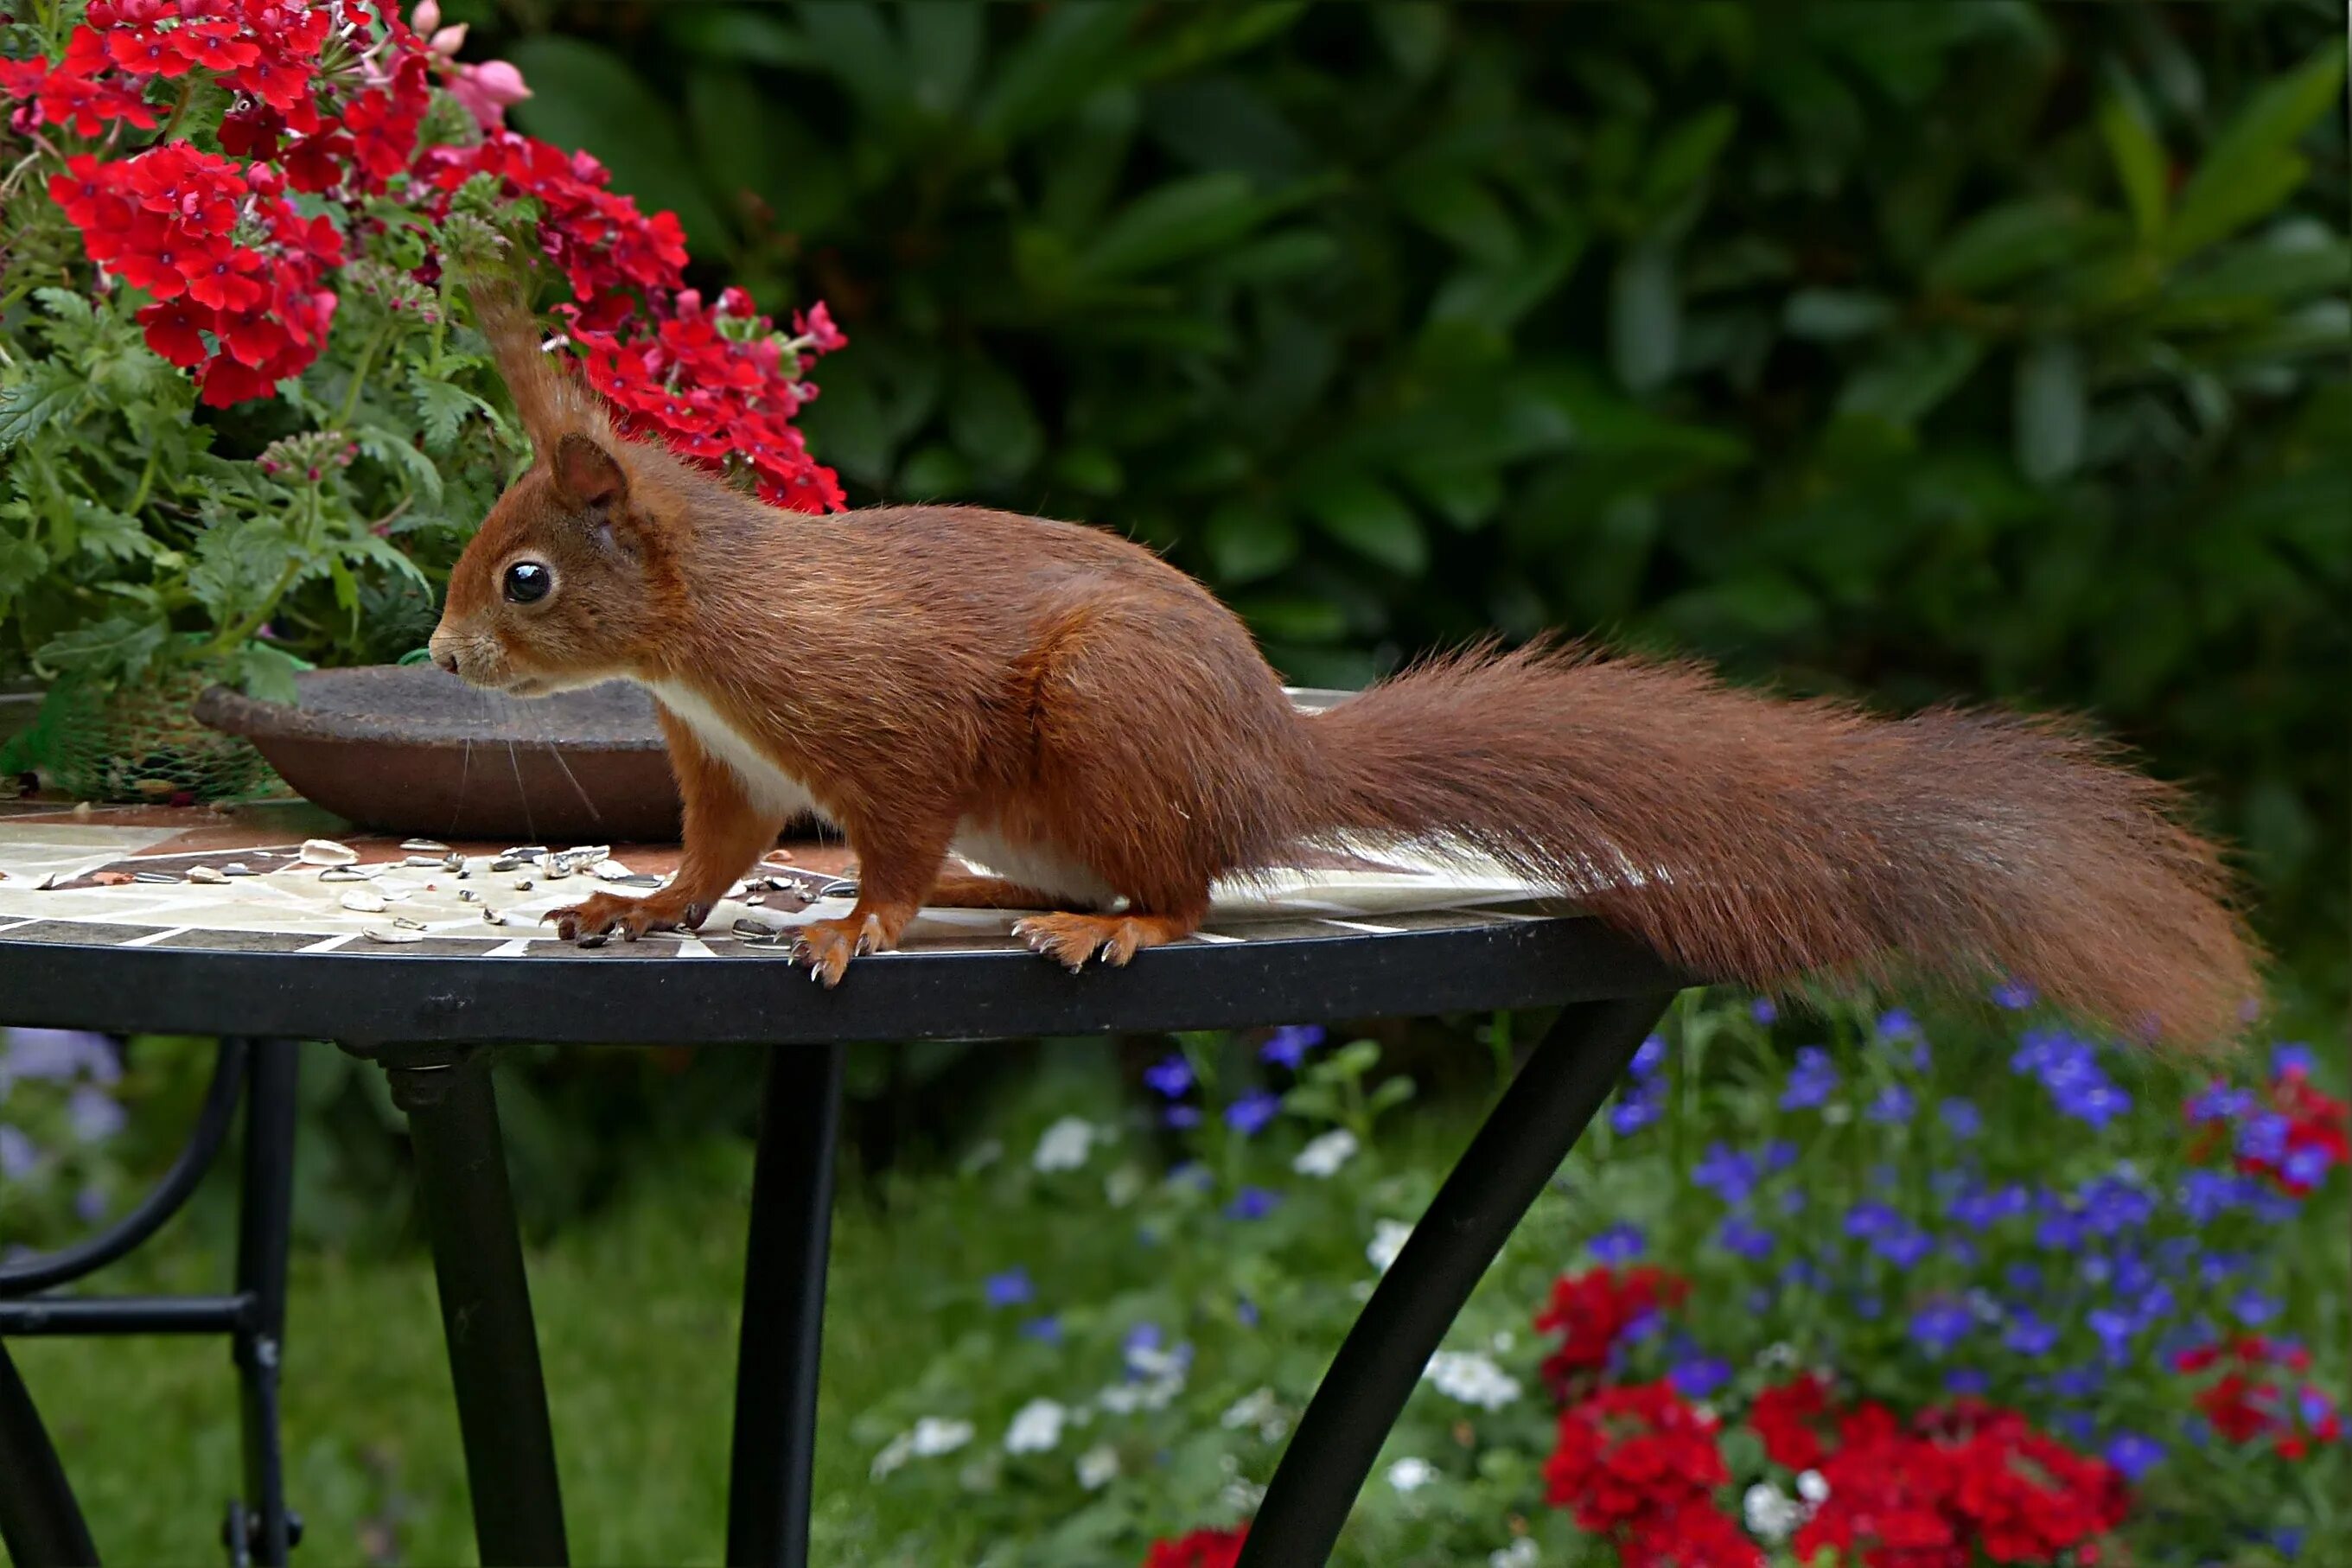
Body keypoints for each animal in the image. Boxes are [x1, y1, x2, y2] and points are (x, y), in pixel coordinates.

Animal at [432, 293, 2248, 1048]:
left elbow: (888, 828)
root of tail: (1272, 763)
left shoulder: (874, 713)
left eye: (527, 576)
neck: (708, 640)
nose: (441, 652)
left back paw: (1105, 921)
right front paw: (634, 905)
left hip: (1110, 716)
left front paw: (859, 923)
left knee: (1186, 890)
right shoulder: (728, 759)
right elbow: (716, 855)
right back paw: (999, 893)